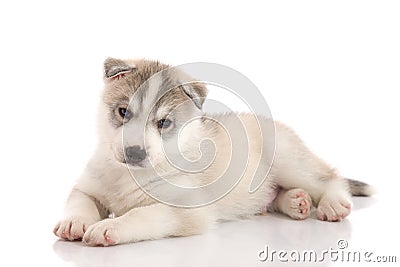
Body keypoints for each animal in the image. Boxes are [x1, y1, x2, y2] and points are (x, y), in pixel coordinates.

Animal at [52, 58, 372, 247]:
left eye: (163, 123)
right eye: (123, 112)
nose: (134, 152)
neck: (128, 175)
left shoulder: (184, 210)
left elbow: (143, 214)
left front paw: (110, 227)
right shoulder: (88, 186)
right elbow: (80, 201)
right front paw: (74, 222)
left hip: (287, 159)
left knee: (329, 177)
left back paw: (332, 202)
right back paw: (295, 202)